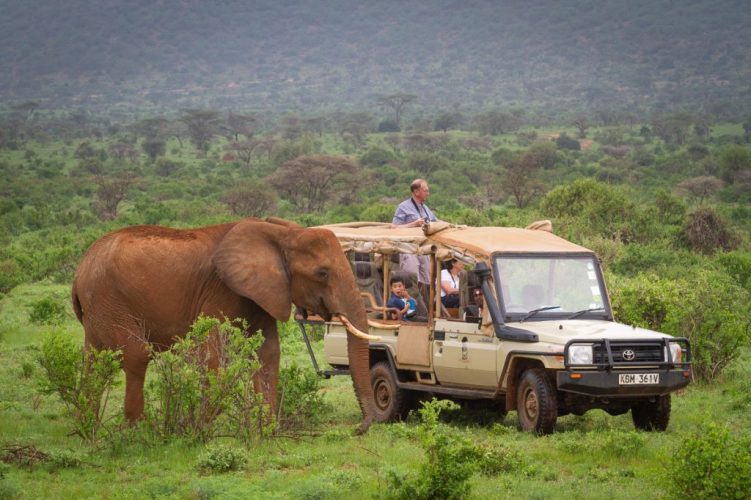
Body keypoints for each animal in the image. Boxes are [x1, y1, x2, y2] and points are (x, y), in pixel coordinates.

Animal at [72, 219, 376, 434]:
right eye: (322, 273)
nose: (357, 429)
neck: (282, 234)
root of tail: (80, 268)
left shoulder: (262, 293)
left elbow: (268, 353)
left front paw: (267, 430)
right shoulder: (221, 290)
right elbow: (213, 353)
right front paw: (195, 427)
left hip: (98, 309)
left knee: (93, 360)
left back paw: (89, 427)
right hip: (109, 299)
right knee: (136, 355)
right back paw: (139, 430)